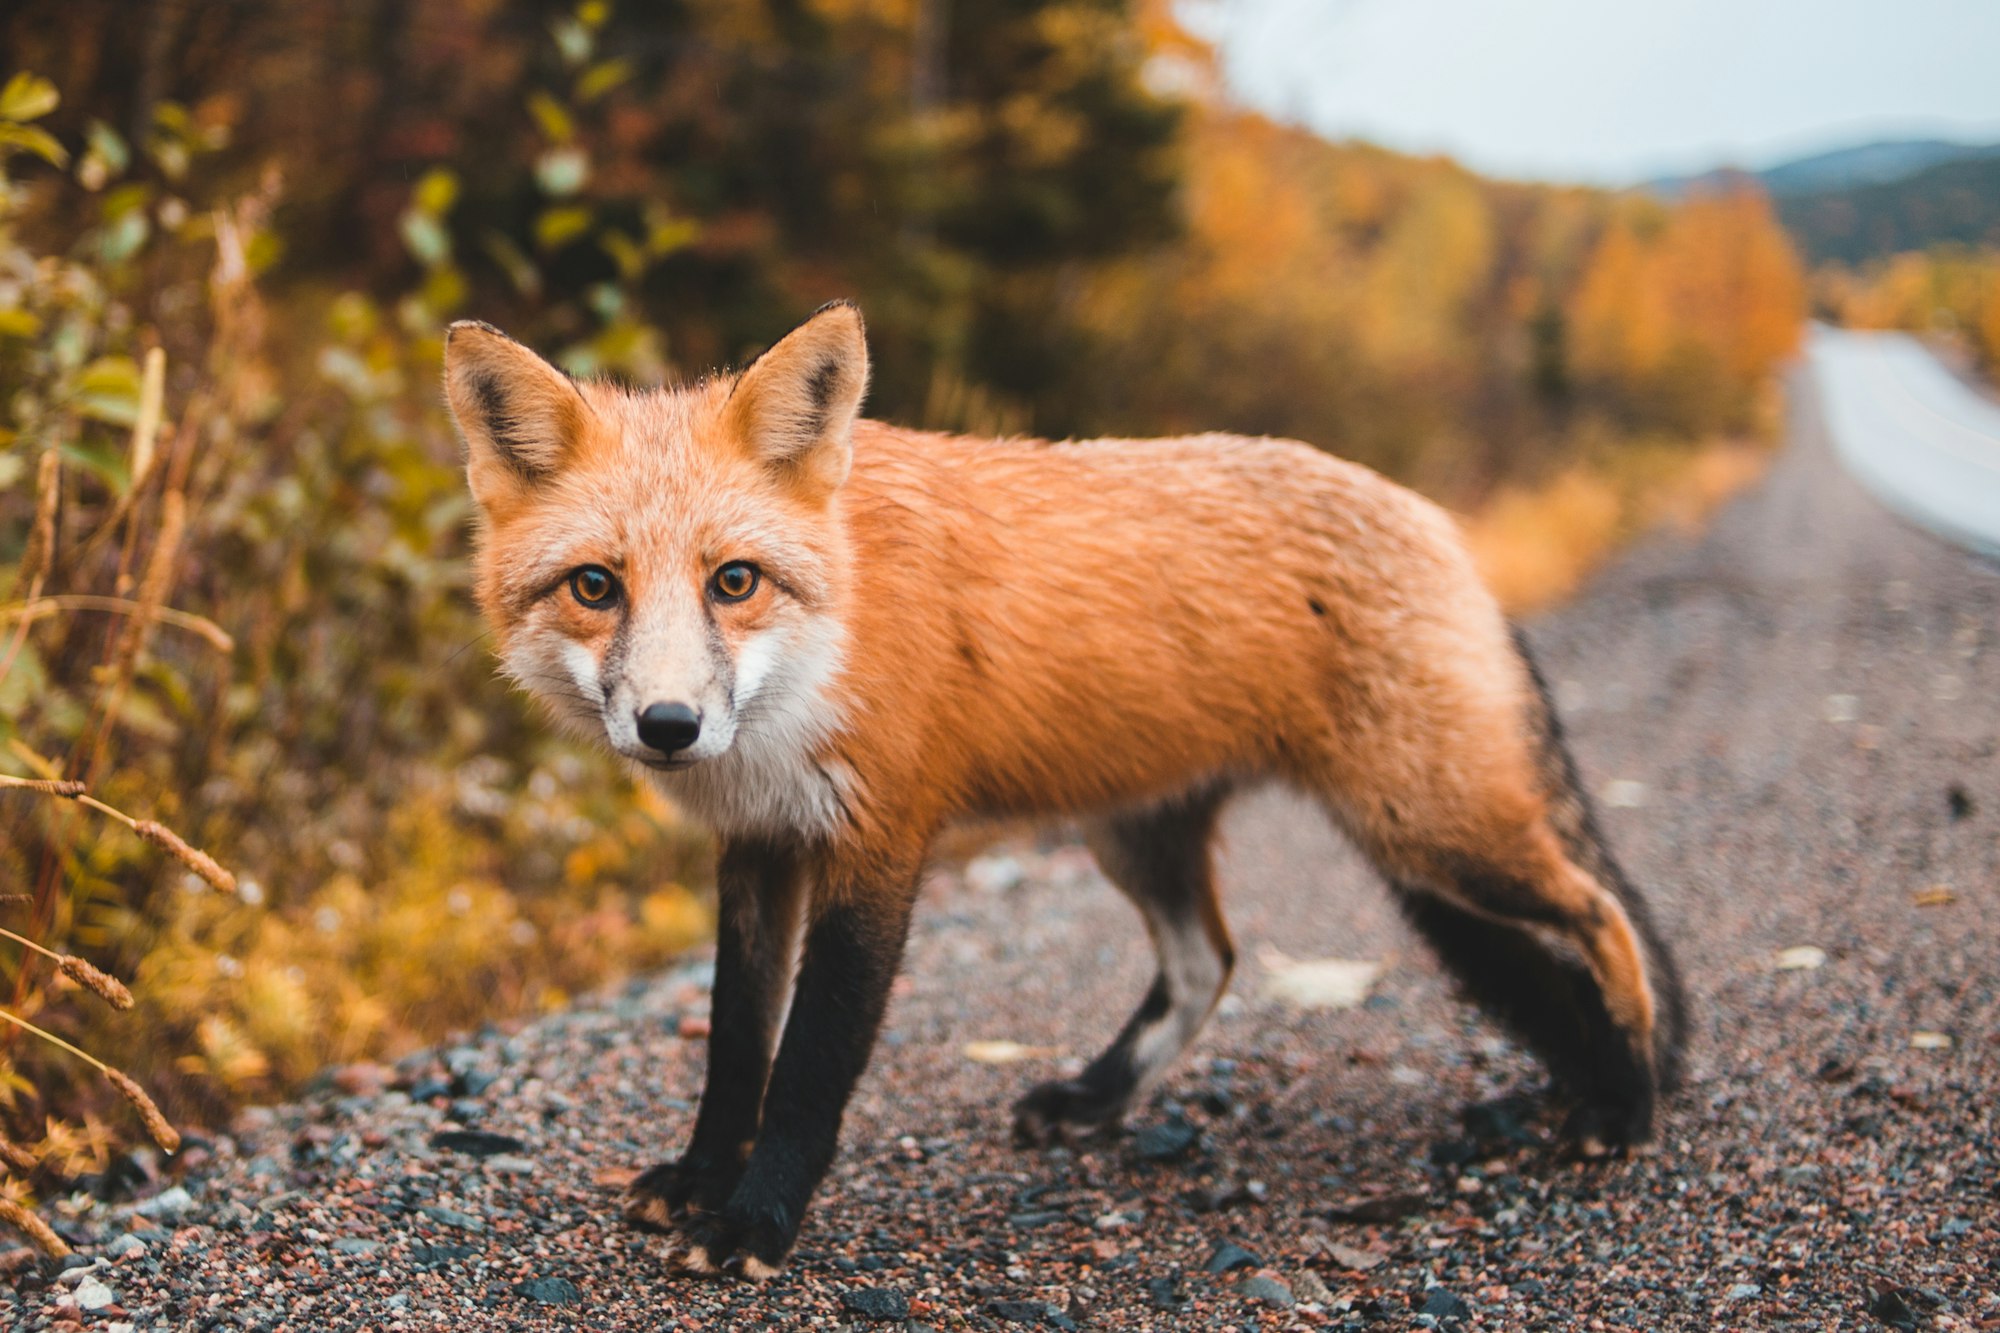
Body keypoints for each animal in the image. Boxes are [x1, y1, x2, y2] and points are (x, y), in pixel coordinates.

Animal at [442, 300, 1688, 1280]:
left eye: (733, 581)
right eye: (595, 587)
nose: (669, 726)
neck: (828, 638)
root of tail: (1436, 519)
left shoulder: (877, 843)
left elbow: (808, 1066)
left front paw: (756, 1220)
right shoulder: (757, 846)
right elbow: (735, 1044)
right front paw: (705, 1178)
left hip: (1428, 830)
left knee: (1601, 917)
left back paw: (1624, 1098)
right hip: (1145, 837)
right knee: (1206, 961)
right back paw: (1096, 1099)